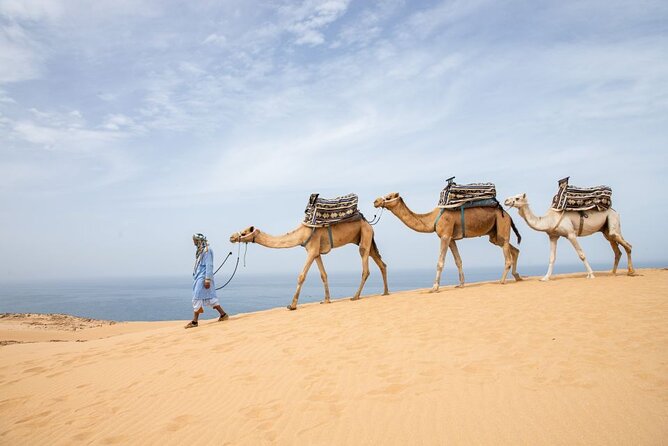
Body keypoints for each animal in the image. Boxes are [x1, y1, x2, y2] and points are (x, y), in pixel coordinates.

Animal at [229, 218, 389, 310]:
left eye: (244, 232)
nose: (232, 237)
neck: (302, 234)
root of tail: (369, 224)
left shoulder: (311, 250)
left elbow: (301, 276)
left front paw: (292, 305)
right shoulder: (316, 252)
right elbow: (323, 275)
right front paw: (326, 300)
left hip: (365, 234)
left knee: (365, 265)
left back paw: (355, 296)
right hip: (365, 237)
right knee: (381, 263)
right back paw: (385, 292)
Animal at [373, 192, 522, 292]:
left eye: (388, 197)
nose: (375, 201)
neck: (432, 218)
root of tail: (508, 215)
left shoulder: (445, 235)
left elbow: (440, 262)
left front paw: (434, 287)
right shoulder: (451, 239)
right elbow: (458, 260)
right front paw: (461, 284)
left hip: (502, 224)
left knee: (507, 252)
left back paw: (502, 281)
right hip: (493, 234)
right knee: (513, 249)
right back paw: (517, 277)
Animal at [504, 193, 635, 280]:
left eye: (517, 198)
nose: (506, 200)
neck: (548, 219)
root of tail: (615, 211)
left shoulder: (571, 234)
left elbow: (581, 254)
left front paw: (591, 275)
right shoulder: (553, 236)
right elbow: (552, 258)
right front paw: (545, 278)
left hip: (612, 220)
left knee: (626, 245)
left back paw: (631, 272)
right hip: (605, 230)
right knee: (617, 249)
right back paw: (613, 273)